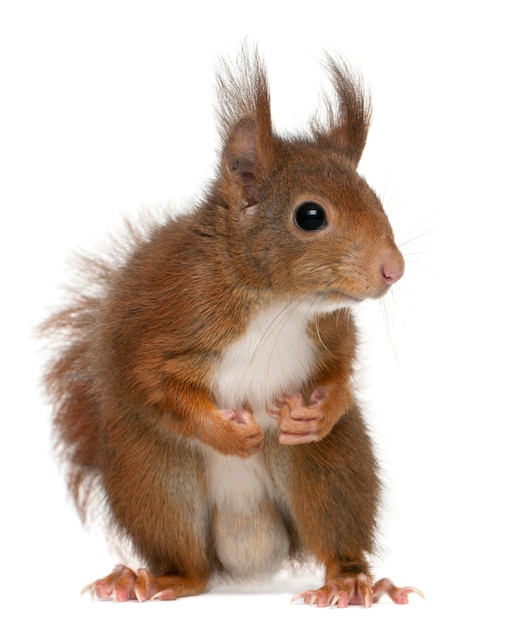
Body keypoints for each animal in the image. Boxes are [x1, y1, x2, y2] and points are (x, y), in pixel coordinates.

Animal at [42, 47, 422, 604]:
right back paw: (145, 578)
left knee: (334, 525)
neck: (274, 301)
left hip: (329, 466)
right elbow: (153, 383)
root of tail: (250, 548)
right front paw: (228, 433)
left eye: (372, 197)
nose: (393, 269)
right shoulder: (166, 318)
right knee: (190, 565)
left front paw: (320, 411)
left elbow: (340, 372)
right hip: (155, 476)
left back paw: (350, 581)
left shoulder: (332, 329)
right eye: (310, 216)